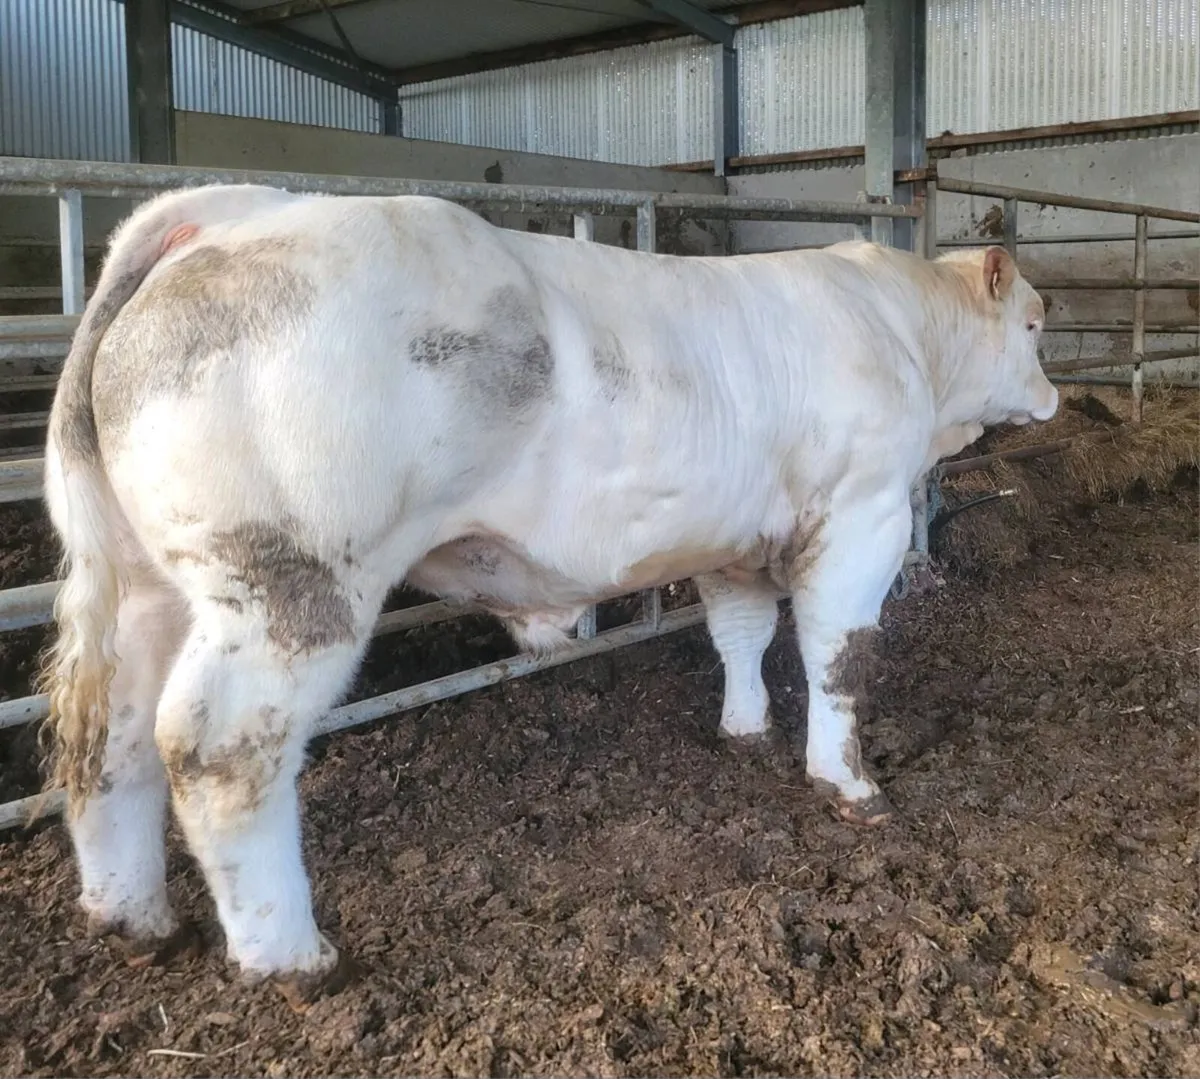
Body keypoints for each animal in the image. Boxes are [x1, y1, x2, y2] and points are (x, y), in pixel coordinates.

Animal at [39, 183, 1057, 1002]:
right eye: (1038, 324)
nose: (1052, 397)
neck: (902, 329)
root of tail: (233, 212)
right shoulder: (862, 512)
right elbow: (841, 654)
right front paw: (850, 782)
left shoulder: (733, 535)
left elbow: (739, 632)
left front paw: (743, 727)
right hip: (287, 582)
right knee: (216, 747)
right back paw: (290, 956)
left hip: (147, 586)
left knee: (112, 731)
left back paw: (130, 915)